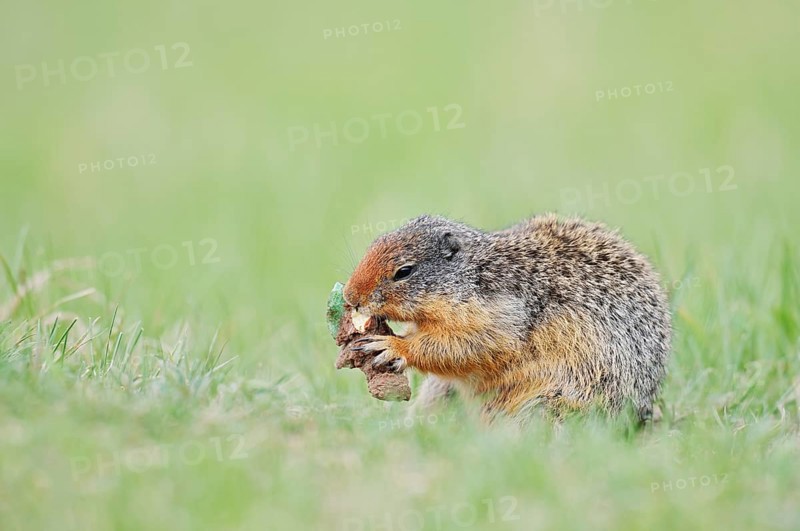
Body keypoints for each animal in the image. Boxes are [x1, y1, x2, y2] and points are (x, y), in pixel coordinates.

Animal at [344, 214, 671, 424]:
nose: (350, 296)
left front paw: (392, 346)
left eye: (404, 271)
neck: (474, 275)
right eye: (376, 242)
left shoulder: (501, 316)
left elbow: (466, 346)